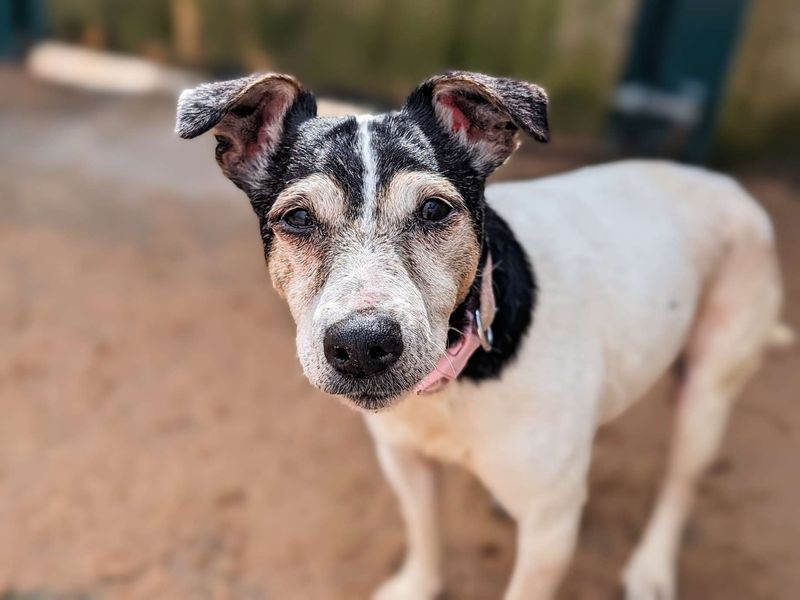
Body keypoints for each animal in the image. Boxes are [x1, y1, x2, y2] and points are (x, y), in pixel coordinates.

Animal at [175, 72, 788, 596]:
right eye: (298, 219)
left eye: (433, 209)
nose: (363, 345)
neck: (455, 380)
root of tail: (728, 185)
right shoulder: (405, 462)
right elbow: (424, 534)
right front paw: (418, 586)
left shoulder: (549, 529)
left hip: (709, 391)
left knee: (681, 483)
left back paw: (652, 568)